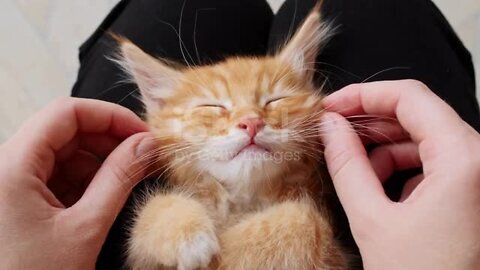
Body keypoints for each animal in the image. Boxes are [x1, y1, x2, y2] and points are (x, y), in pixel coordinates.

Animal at [117, 4, 348, 270]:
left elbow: (305, 223)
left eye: (274, 100)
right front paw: (187, 231)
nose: (251, 122)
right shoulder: (141, 262)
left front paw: (227, 252)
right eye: (213, 106)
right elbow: (152, 210)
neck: (243, 204)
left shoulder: (336, 252)